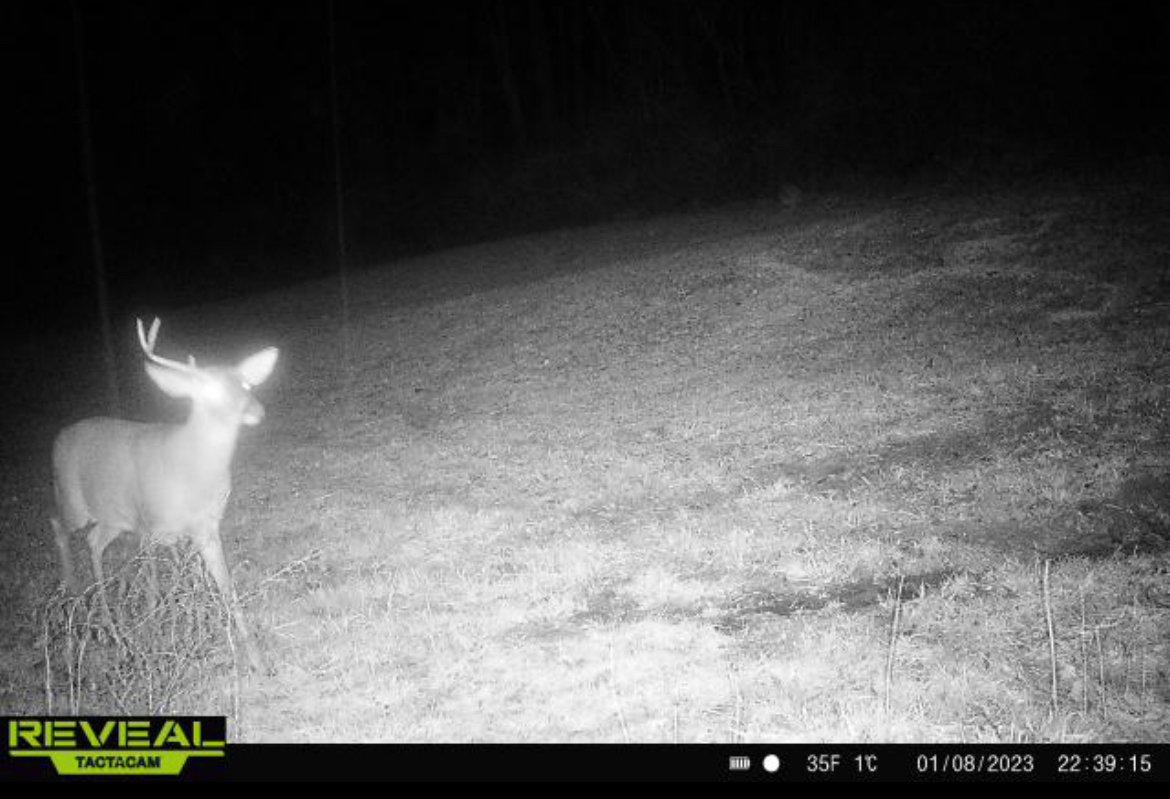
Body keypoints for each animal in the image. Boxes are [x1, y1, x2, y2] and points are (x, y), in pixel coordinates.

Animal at [51, 318, 279, 673]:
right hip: (73, 499)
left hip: (114, 519)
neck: (192, 473)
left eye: (245, 384)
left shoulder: (206, 528)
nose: (257, 411)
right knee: (58, 526)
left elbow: (225, 587)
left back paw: (110, 625)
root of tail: (59, 437)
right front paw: (156, 641)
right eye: (208, 391)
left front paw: (257, 660)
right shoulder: (149, 525)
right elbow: (154, 589)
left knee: (94, 542)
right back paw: (77, 596)